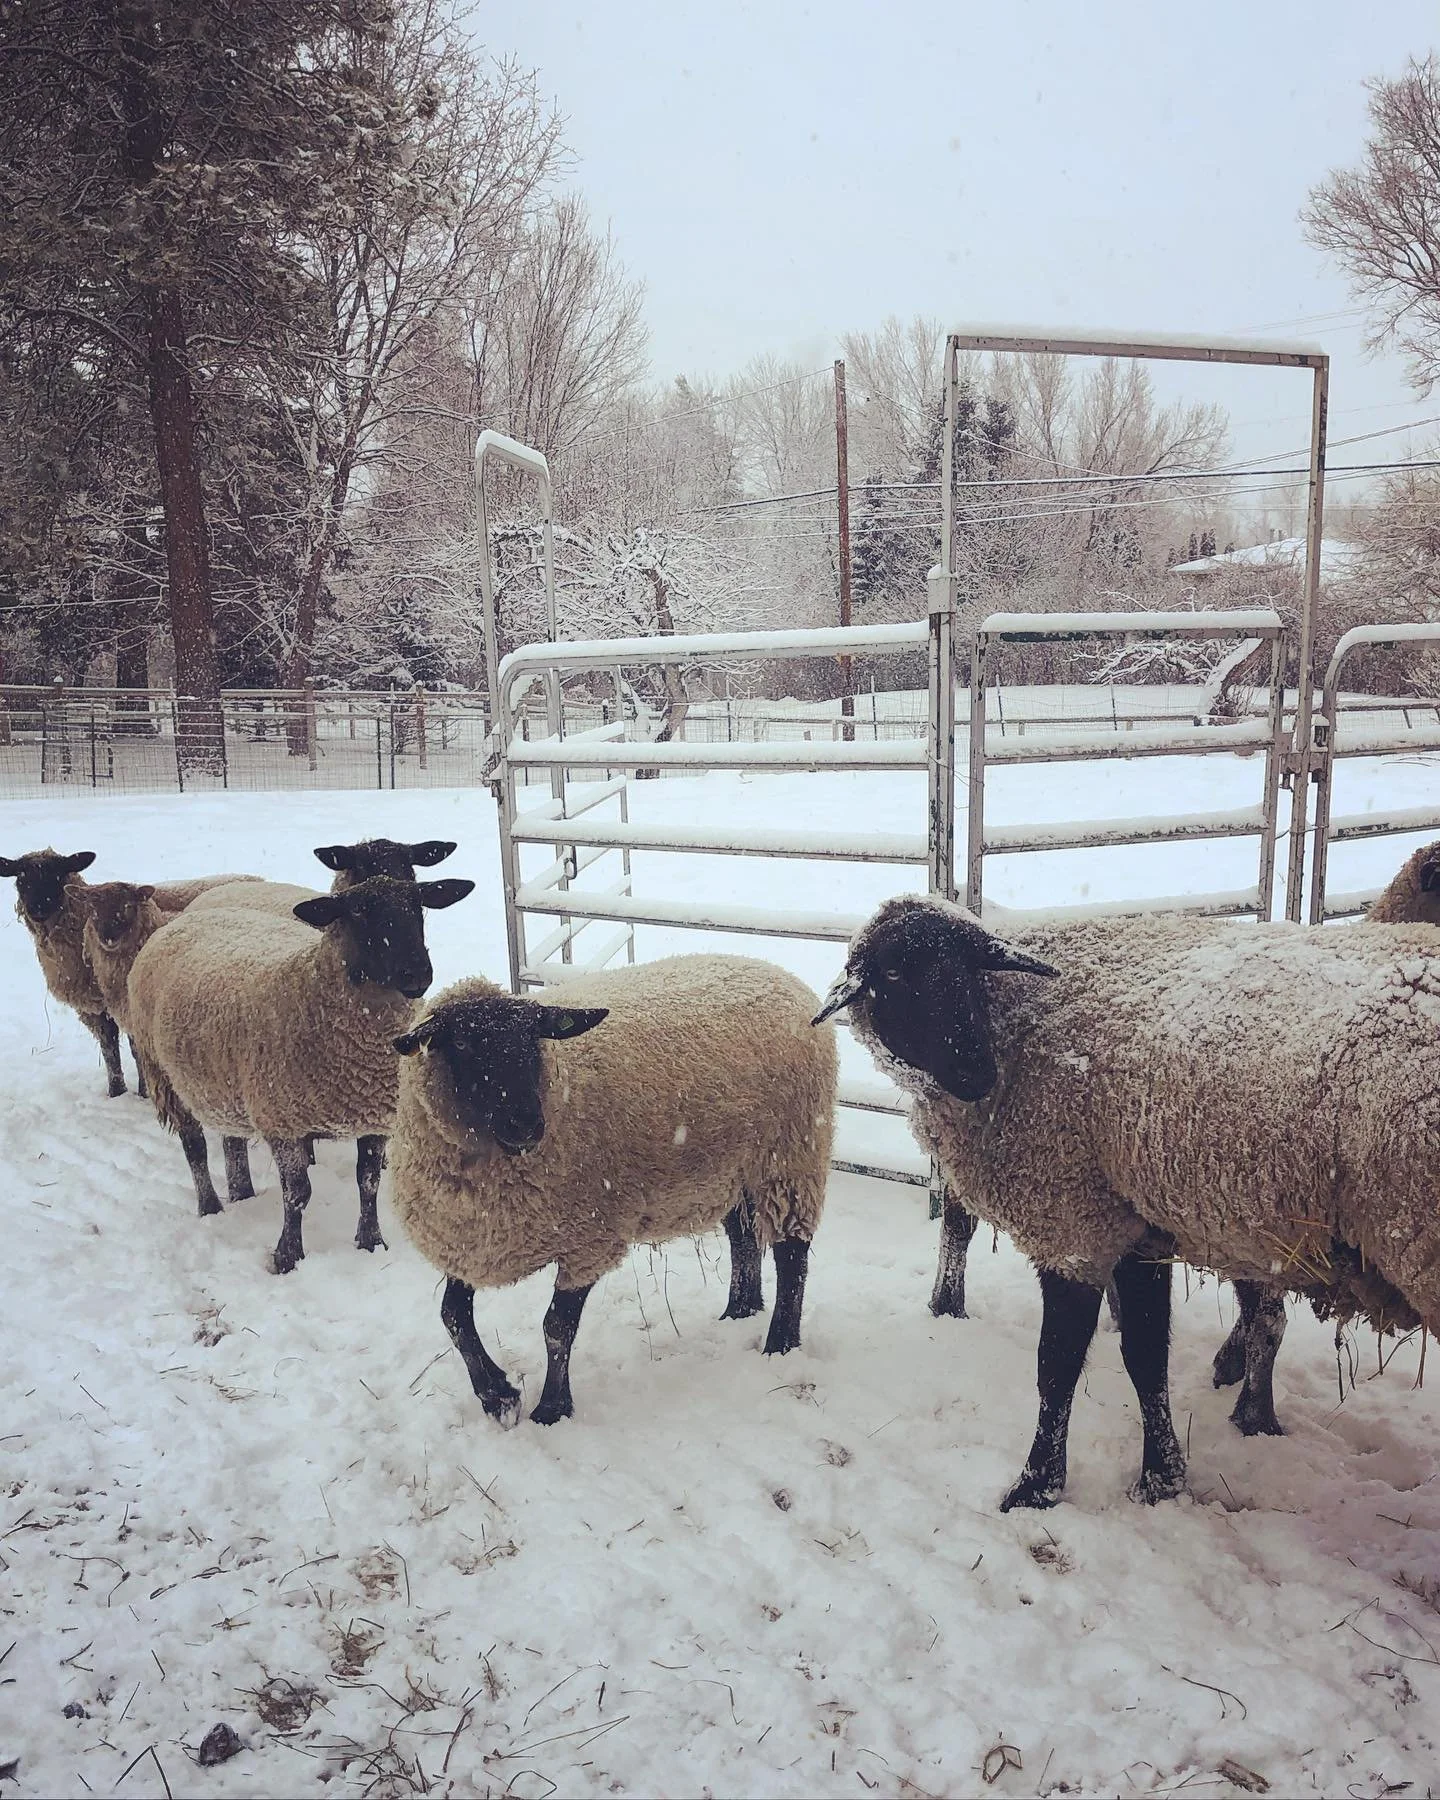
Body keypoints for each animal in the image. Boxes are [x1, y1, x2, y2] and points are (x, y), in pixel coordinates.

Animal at [128, 873, 473, 1270]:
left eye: (419, 906)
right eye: (358, 911)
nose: (417, 974)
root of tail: (183, 919)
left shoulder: (373, 1118)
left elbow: (367, 1182)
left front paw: (370, 1242)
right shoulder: (282, 1121)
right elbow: (297, 1193)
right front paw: (287, 1256)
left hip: (225, 1085)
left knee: (232, 1139)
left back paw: (242, 1193)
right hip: (162, 1072)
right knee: (194, 1147)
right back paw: (210, 1206)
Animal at [387, 954, 838, 1426]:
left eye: (532, 1040)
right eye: (462, 1045)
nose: (528, 1125)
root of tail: (782, 975)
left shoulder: (589, 1240)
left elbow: (556, 1328)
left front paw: (551, 1409)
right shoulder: (468, 1241)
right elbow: (453, 1316)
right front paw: (497, 1395)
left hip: (791, 1157)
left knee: (792, 1256)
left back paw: (780, 1343)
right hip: (734, 1169)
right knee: (744, 1237)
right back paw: (739, 1311)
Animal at [817, 894, 1440, 1511]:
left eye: (967, 967)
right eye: (893, 973)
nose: (975, 1071)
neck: (1011, 1025)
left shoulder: (1072, 1218)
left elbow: (1058, 1362)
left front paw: (1037, 1485)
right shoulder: (1137, 1225)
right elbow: (1146, 1357)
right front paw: (1161, 1479)